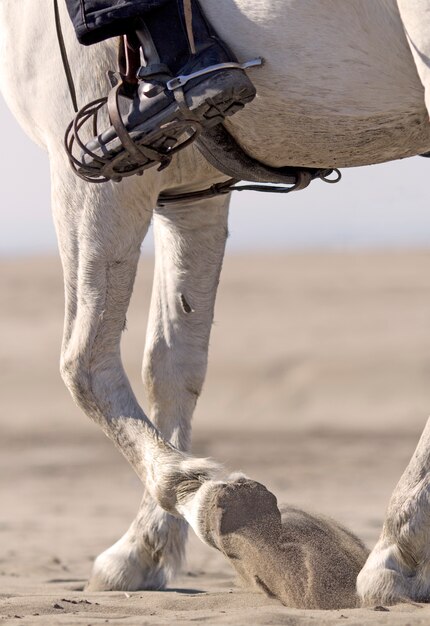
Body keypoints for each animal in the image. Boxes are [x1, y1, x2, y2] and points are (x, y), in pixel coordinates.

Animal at [2, 0, 430, 608]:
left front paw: (206, 496)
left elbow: (82, 363)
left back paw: (396, 551)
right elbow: (170, 365)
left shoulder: (89, 177)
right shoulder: (190, 190)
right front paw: (142, 550)